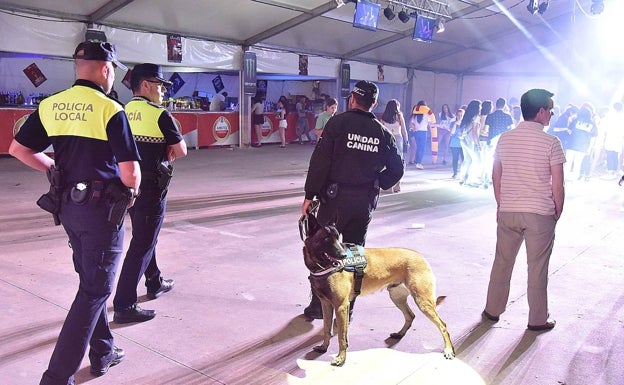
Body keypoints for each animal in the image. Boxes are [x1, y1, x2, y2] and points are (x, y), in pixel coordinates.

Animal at [302, 213, 454, 366]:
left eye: (338, 238)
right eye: (326, 238)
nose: (343, 255)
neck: (322, 267)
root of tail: (420, 256)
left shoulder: (341, 307)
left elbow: (341, 337)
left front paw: (341, 358)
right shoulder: (326, 305)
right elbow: (327, 329)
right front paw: (324, 347)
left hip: (422, 302)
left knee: (443, 325)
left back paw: (448, 349)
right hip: (397, 298)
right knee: (410, 316)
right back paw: (400, 334)